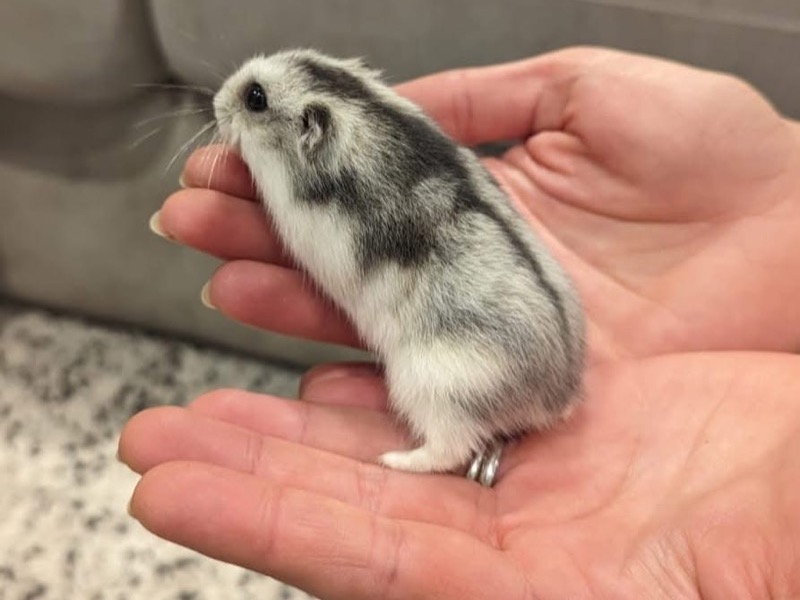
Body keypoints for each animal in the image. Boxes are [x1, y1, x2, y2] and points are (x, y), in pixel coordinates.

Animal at [213, 49, 585, 474]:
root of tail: (556, 399)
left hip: (434, 389)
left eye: (255, 98)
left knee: (449, 449)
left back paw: (391, 459)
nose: (216, 101)